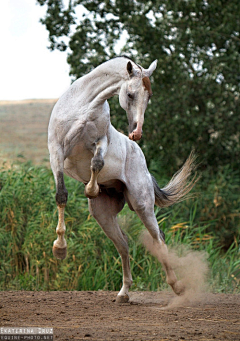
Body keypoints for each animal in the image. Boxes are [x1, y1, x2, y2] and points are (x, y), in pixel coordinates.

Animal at [48, 56, 195, 302]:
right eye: (131, 95)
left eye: (149, 95)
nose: (136, 133)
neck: (82, 107)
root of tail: (144, 167)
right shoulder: (56, 151)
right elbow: (61, 195)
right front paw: (60, 248)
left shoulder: (100, 141)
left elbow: (97, 163)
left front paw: (91, 189)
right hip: (104, 216)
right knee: (124, 245)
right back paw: (124, 293)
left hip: (142, 205)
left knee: (158, 239)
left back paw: (177, 287)